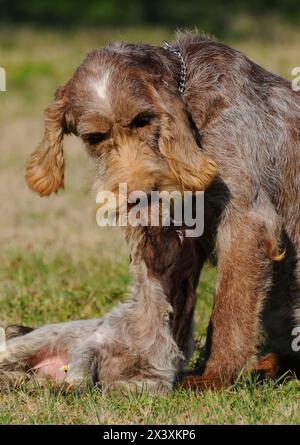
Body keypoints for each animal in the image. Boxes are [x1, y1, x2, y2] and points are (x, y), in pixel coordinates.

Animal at [19, 31, 300, 388]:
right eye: (95, 137)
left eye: (143, 120)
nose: (140, 197)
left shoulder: (246, 221)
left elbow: (229, 308)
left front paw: (215, 375)